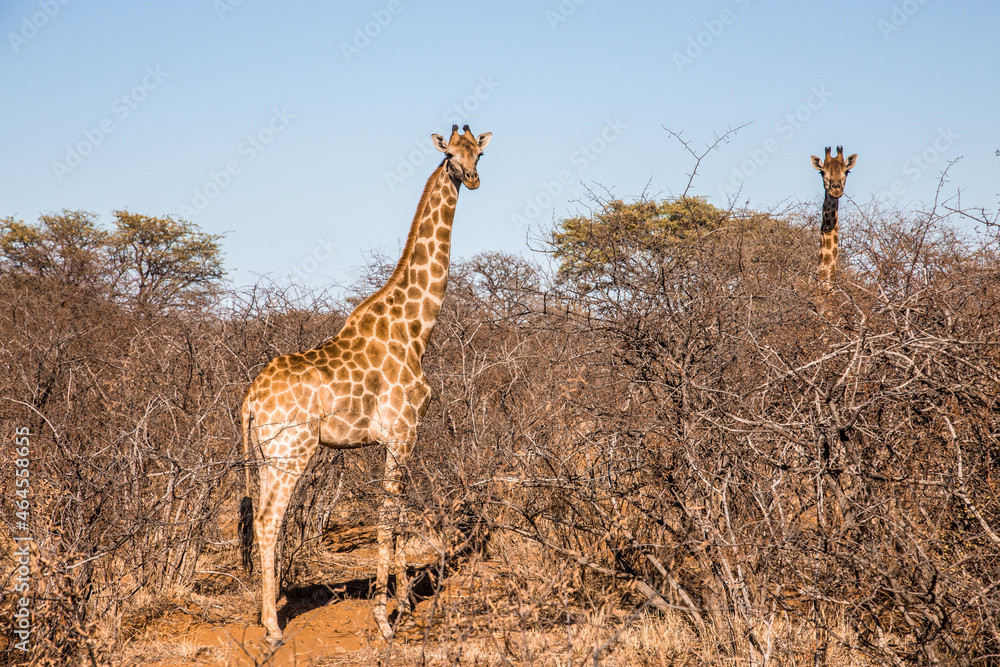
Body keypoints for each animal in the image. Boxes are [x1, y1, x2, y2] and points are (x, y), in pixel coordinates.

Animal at [239, 124, 491, 643]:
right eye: (451, 157)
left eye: (479, 154)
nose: (473, 179)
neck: (416, 329)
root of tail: (251, 399)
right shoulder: (403, 432)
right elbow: (388, 517)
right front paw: (384, 617)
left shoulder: (392, 439)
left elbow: (396, 516)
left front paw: (402, 602)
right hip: (291, 450)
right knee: (270, 520)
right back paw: (273, 627)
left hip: (266, 454)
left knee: (261, 519)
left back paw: (266, 613)